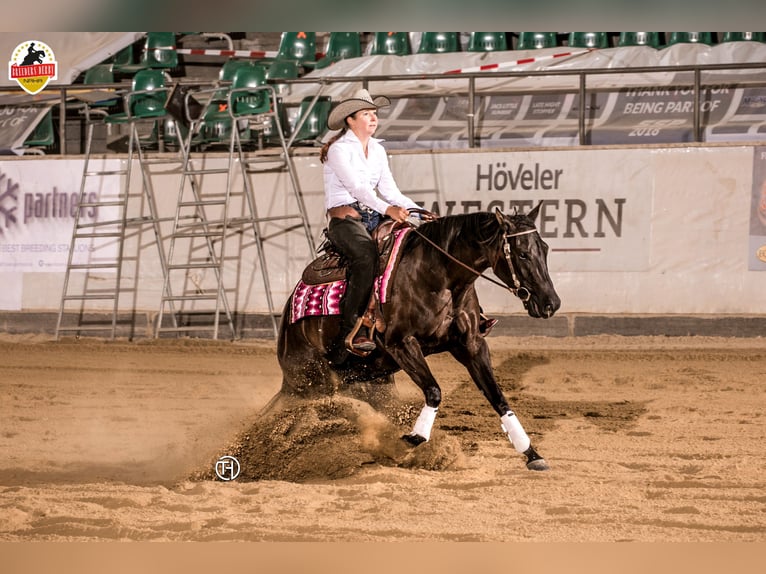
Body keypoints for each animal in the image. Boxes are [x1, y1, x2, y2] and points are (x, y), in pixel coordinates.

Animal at [277, 204, 561, 470]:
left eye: (545, 249)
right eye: (522, 253)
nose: (551, 303)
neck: (438, 276)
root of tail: (287, 319)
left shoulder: (472, 345)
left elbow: (497, 397)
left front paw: (531, 454)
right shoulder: (402, 344)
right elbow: (434, 391)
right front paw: (412, 438)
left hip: (368, 379)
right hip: (311, 379)